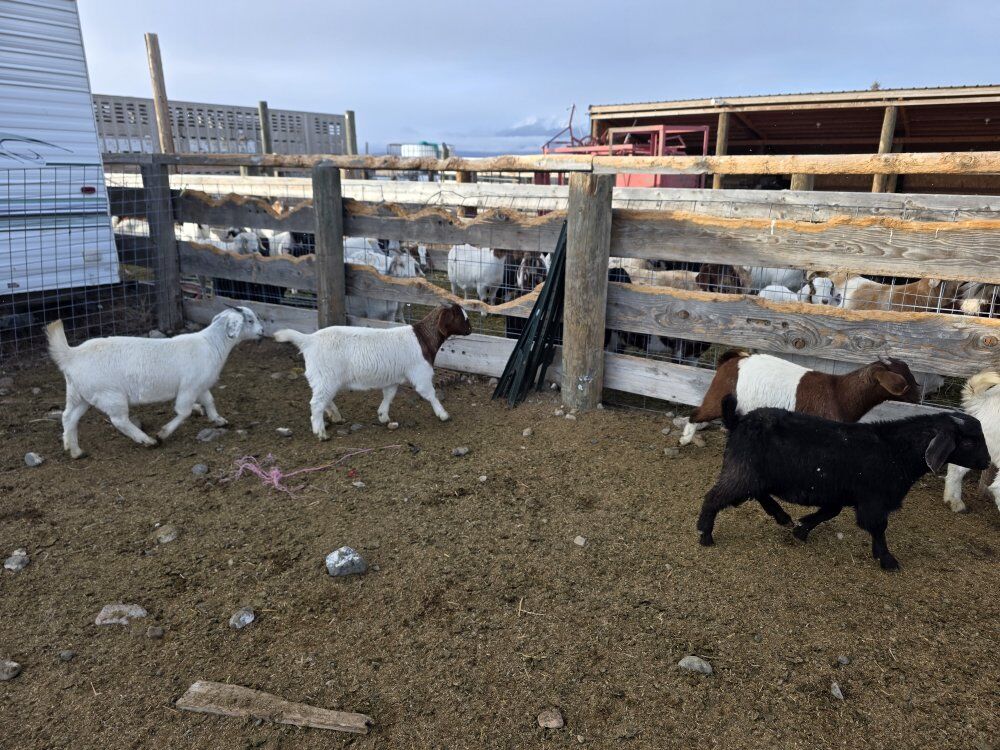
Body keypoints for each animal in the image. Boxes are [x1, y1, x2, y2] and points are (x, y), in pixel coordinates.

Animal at [46, 307, 263, 458]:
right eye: (250, 320)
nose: (262, 331)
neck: (212, 344)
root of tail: (71, 355)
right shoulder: (189, 386)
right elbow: (183, 411)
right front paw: (163, 433)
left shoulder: (200, 385)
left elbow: (209, 401)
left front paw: (218, 420)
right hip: (110, 394)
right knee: (119, 421)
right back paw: (146, 440)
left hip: (80, 393)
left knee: (68, 417)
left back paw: (74, 450)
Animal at [273, 304, 472, 438]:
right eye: (461, 317)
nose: (471, 329)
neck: (422, 338)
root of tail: (309, 340)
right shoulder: (420, 372)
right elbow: (430, 394)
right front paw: (443, 414)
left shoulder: (393, 378)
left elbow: (389, 395)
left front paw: (383, 415)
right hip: (326, 377)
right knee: (316, 403)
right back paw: (320, 432)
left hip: (325, 379)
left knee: (324, 399)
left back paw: (335, 416)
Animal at [680, 352, 920, 445]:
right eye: (905, 382)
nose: (919, 395)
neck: (839, 392)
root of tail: (732, 360)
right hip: (718, 397)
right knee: (696, 413)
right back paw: (685, 439)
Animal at [697, 395, 990, 570]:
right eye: (968, 442)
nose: (988, 462)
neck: (896, 451)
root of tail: (738, 420)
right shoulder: (873, 499)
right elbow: (877, 528)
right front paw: (887, 559)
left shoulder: (840, 492)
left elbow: (829, 512)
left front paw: (802, 529)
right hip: (743, 469)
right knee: (716, 496)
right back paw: (705, 533)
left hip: (755, 473)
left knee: (755, 493)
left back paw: (781, 516)